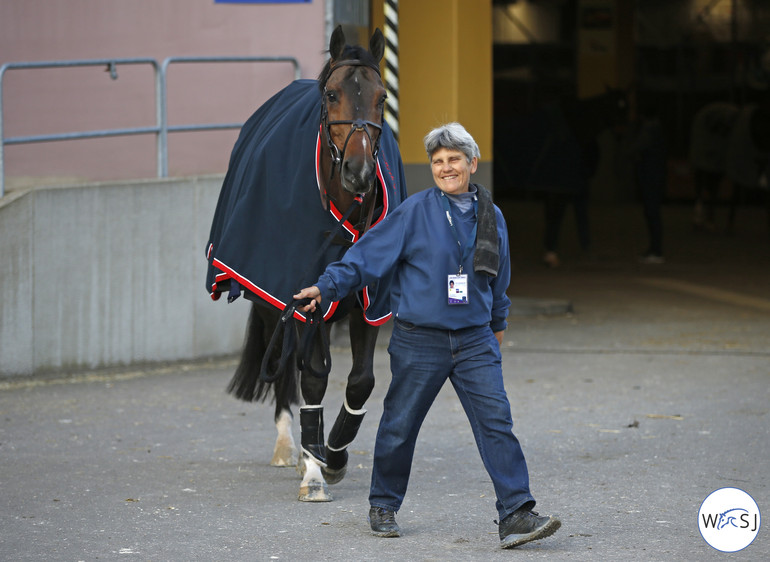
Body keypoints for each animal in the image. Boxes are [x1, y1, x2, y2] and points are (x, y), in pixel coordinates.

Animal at [204, 25, 408, 498]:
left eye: (382, 97)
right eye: (332, 95)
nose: (359, 172)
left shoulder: (369, 304)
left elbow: (361, 382)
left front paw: (333, 454)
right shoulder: (300, 297)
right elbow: (312, 375)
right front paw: (315, 472)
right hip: (276, 303)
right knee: (284, 366)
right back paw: (288, 446)